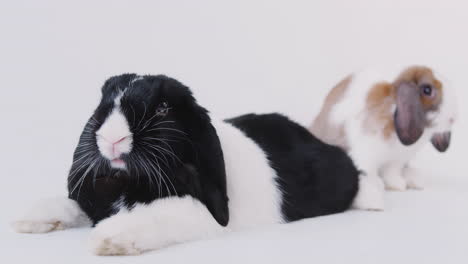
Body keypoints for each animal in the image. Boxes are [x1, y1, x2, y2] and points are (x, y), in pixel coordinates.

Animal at [13, 73, 358, 254]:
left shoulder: (196, 213)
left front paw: (108, 239)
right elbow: (75, 206)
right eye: (102, 106)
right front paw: (30, 219)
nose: (112, 138)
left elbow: (155, 214)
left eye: (163, 108)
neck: (132, 181)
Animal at [310, 66, 458, 210]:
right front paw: (375, 197)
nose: (452, 118)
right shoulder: (365, 155)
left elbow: (391, 173)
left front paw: (398, 185)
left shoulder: (396, 160)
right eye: (427, 90)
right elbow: (366, 175)